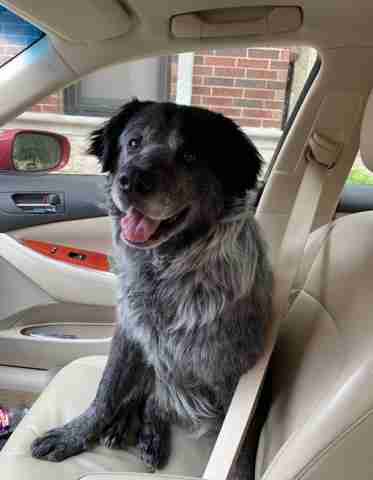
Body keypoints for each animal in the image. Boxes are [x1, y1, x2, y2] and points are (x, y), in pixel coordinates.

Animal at [30, 98, 272, 476]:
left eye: (189, 155)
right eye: (133, 143)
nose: (130, 180)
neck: (166, 273)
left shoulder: (235, 373)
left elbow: (238, 443)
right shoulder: (130, 331)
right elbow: (106, 391)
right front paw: (75, 434)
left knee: (158, 402)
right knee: (148, 398)